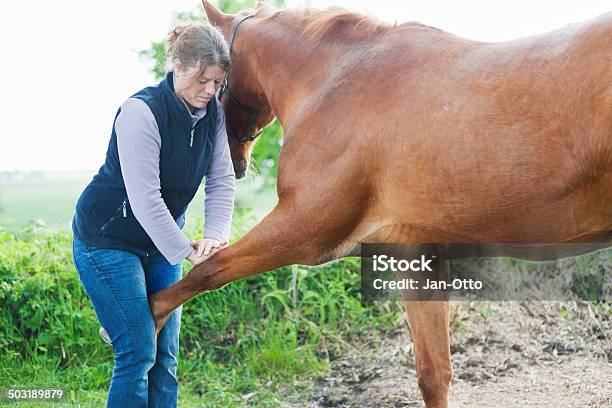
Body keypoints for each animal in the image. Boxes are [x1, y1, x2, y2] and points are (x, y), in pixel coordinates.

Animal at [149, 2, 612, 404]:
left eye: (213, 82)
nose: (232, 159)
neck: (337, 78)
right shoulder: (418, 254)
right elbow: (433, 374)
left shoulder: (304, 231)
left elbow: (208, 271)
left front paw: (147, 323)